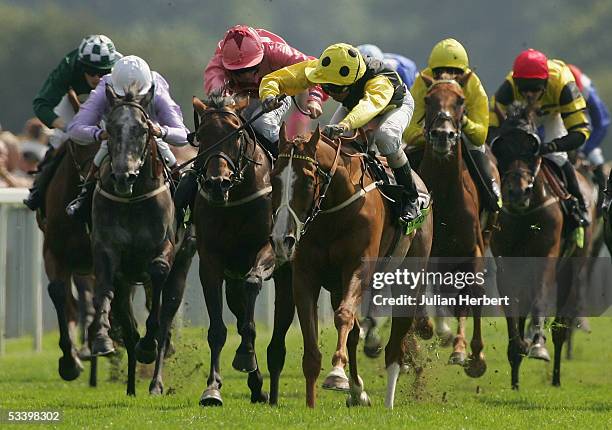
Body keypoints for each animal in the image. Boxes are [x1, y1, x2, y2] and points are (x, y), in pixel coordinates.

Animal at [88, 85, 184, 396]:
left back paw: (155, 382)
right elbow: (104, 288)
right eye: (110, 128)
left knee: (166, 314)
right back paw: (131, 386)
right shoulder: (107, 250)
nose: (124, 176)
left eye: (142, 129)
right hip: (128, 280)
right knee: (129, 327)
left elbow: (158, 277)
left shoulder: (164, 248)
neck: (132, 200)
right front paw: (101, 337)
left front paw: (148, 345)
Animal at [191, 93, 292, 406]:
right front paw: (212, 388)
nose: (217, 183)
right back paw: (257, 385)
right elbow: (217, 329)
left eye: (236, 135)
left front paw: (245, 355)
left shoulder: (267, 249)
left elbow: (252, 288)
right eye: (201, 136)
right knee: (238, 310)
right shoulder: (210, 261)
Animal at [270, 123, 432, 406]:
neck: (333, 211)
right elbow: (312, 349)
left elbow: (344, 316)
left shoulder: (359, 268)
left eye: (308, 180)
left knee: (394, 347)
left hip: (409, 276)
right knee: (356, 333)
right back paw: (358, 391)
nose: (281, 240)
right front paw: (312, 404)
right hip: (337, 287)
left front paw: (336, 374)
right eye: (273, 178)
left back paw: (388, 402)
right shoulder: (305, 276)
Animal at [418, 74, 494, 376]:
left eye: (460, 100)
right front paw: (425, 326)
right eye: (428, 99)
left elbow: (472, 294)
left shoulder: (472, 249)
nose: (443, 134)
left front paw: (472, 354)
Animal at [490, 102, 596, 388]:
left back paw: (556, 375)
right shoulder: (506, 262)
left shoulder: (545, 255)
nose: (517, 192)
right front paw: (517, 349)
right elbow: (512, 308)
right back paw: (516, 376)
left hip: (574, 266)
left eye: (532, 149)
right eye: (501, 148)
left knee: (561, 324)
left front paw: (537, 345)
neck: (524, 213)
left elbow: (540, 297)